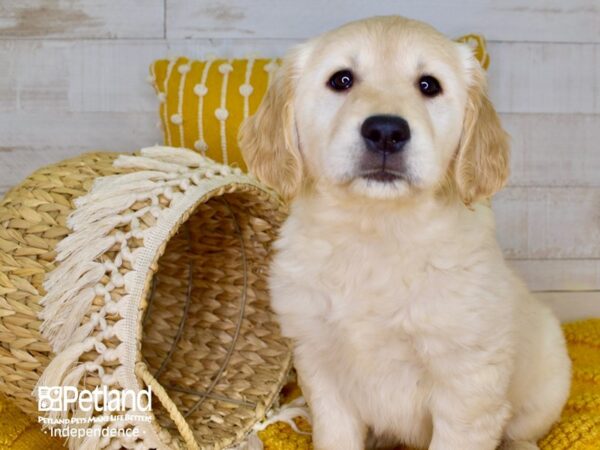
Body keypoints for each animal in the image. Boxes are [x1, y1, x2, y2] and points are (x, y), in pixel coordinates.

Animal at [240, 15, 572, 450]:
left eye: (428, 85)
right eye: (341, 80)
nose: (385, 131)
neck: (376, 230)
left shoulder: (466, 385)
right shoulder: (320, 366)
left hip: (547, 382)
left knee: (521, 430)